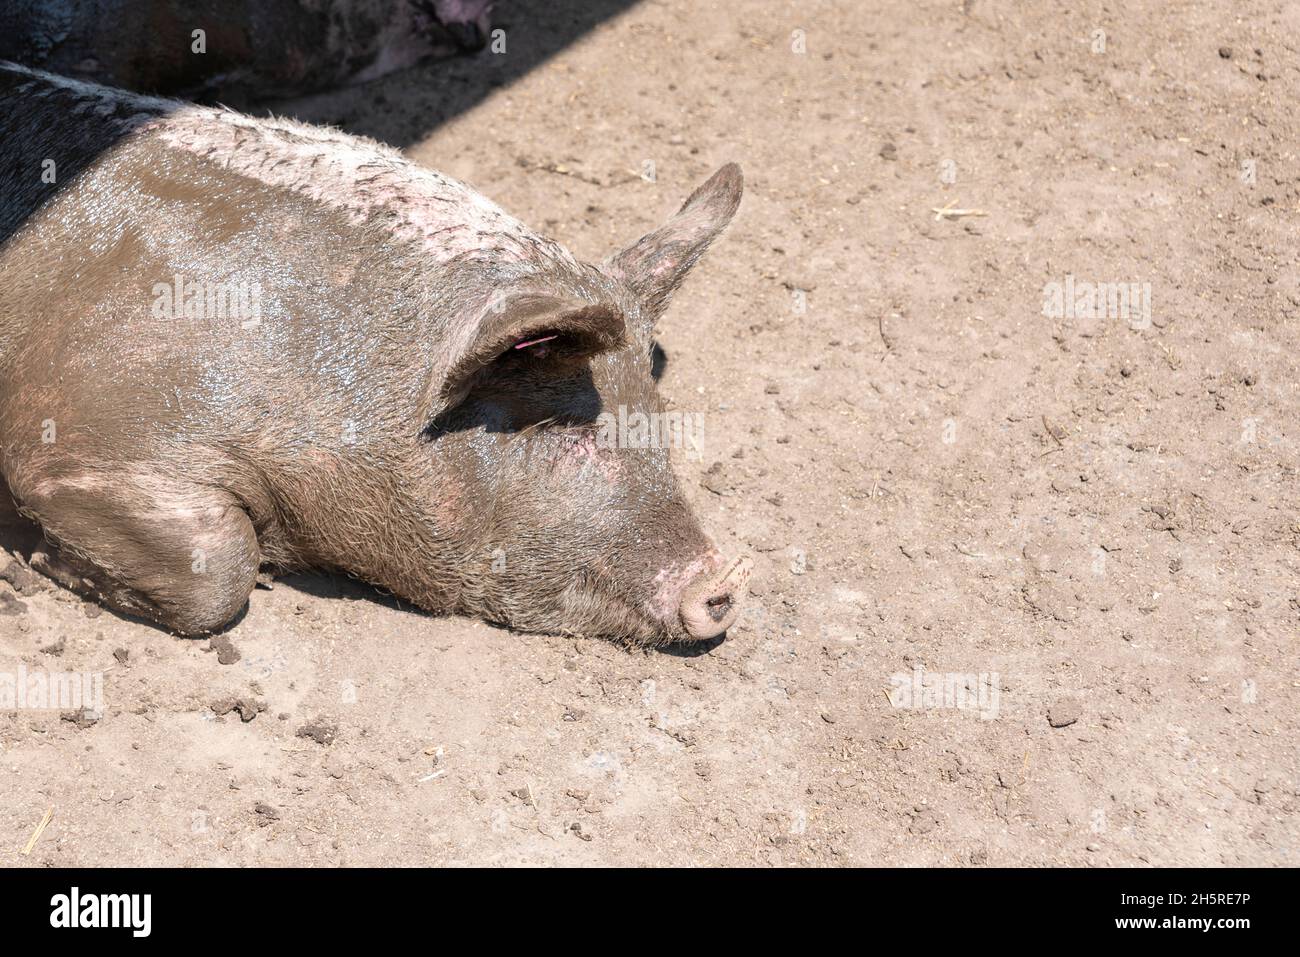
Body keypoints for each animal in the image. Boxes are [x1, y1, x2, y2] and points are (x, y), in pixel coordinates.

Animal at [0, 59, 754, 642]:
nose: (720, 581)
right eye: (573, 430)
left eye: (656, 417)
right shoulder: (73, 441)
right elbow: (222, 571)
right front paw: (41, 560)